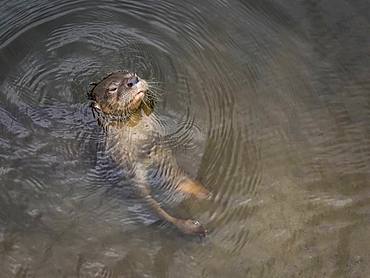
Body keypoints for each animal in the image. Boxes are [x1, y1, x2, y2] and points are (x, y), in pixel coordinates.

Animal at [88, 70, 210, 236]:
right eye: (112, 88)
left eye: (132, 73)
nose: (133, 80)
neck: (136, 133)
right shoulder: (126, 161)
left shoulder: (159, 148)